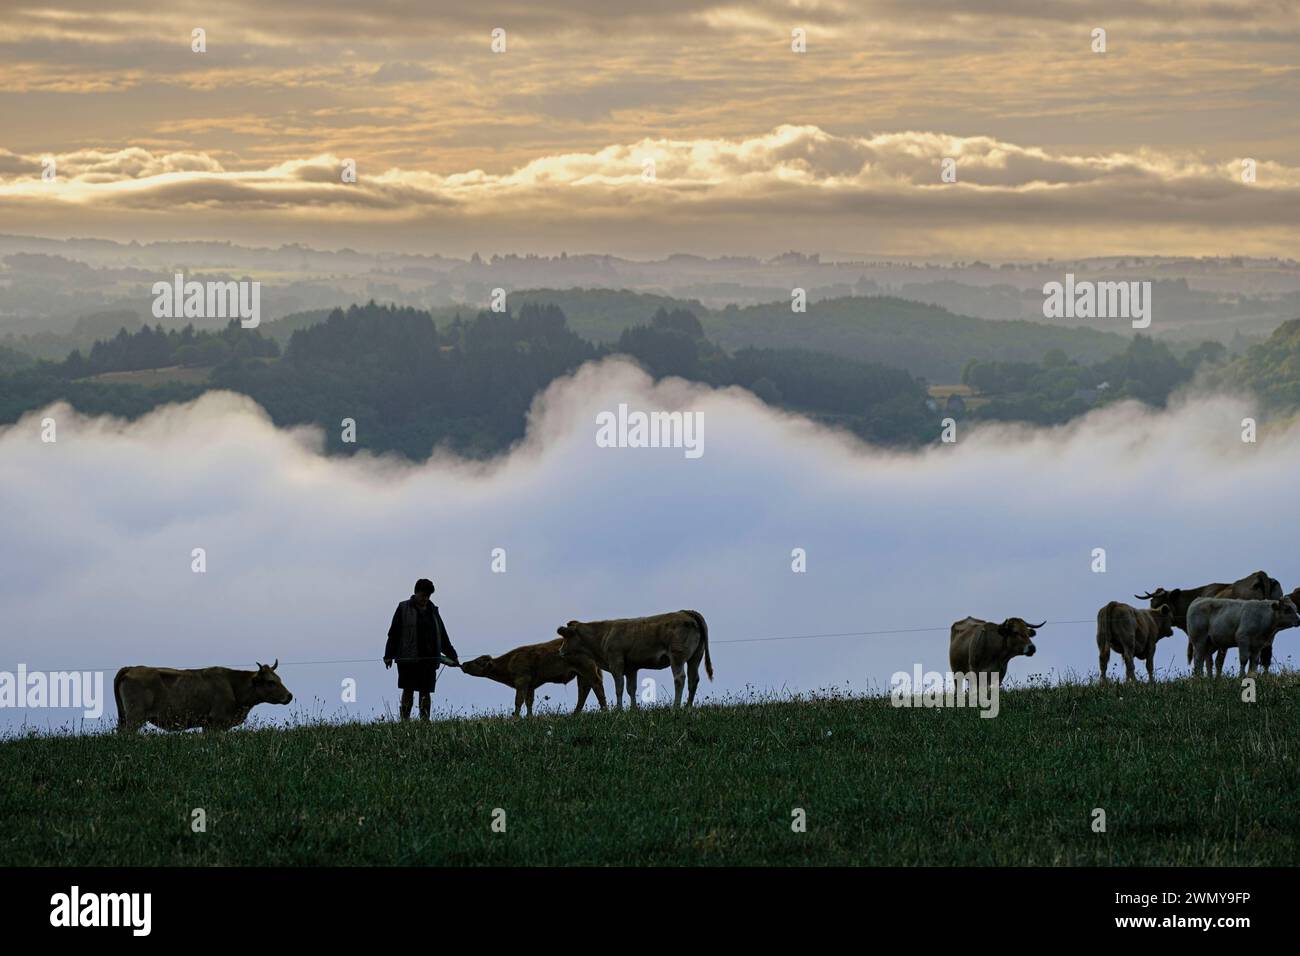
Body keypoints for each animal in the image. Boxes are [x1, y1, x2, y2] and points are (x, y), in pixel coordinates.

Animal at [113, 660, 292, 738]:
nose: (289, 696)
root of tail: (131, 668)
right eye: (271, 682)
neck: (233, 685)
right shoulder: (215, 723)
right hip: (135, 717)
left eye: (279, 678)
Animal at [457, 639, 603, 712]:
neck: (508, 662)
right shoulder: (531, 685)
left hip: (586, 668)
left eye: (478, 661)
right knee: (584, 691)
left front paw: (515, 719)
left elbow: (518, 701)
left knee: (596, 685)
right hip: (582, 673)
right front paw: (529, 718)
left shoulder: (522, 680)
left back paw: (604, 710)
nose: (463, 664)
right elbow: (529, 702)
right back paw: (576, 713)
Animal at [551, 608, 712, 707]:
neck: (603, 635)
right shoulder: (631, 668)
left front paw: (619, 710)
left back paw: (676, 707)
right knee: (693, 679)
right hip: (695, 657)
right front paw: (633, 710)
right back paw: (688, 707)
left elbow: (619, 688)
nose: (560, 651)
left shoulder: (616, 663)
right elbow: (631, 689)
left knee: (680, 678)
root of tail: (686, 612)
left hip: (677, 657)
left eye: (566, 637)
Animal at [1133, 572, 1284, 676]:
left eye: (1160, 604)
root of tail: (1260, 575)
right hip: (1269, 633)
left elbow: (1211, 661)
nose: (1149, 619)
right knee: (1265, 656)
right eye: (1151, 603)